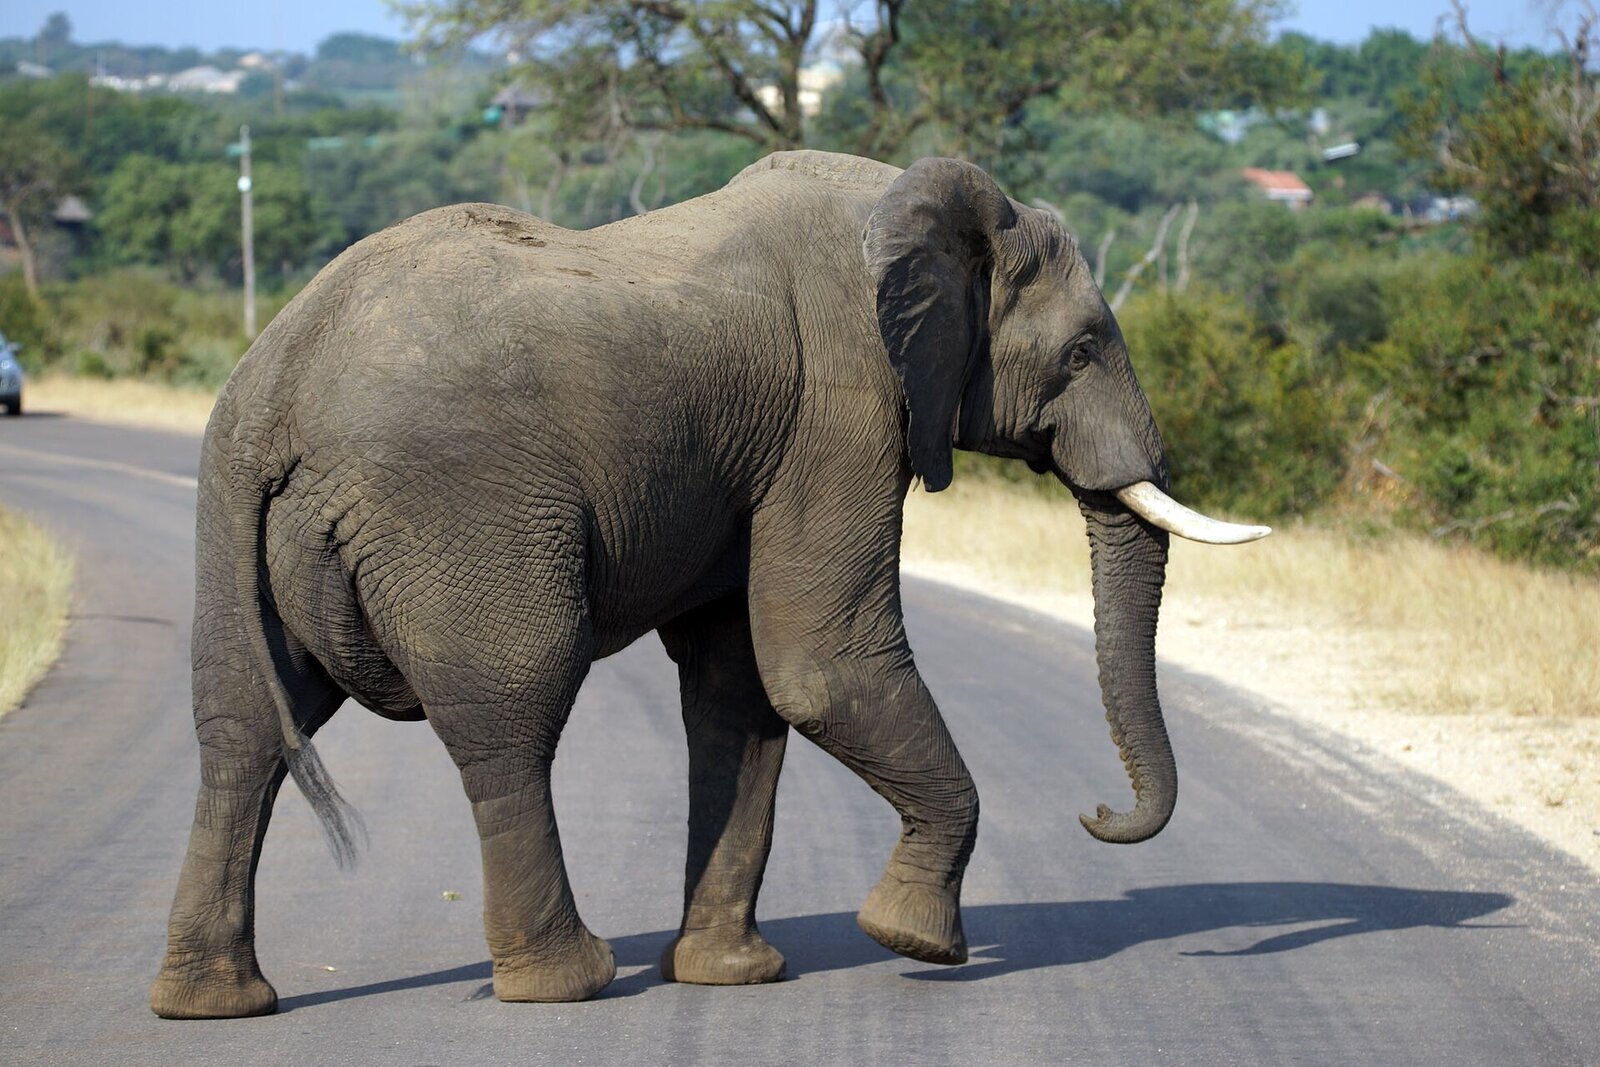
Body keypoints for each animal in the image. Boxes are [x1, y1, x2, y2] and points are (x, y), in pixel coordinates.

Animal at [149, 150, 1267, 1019]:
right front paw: (915, 943)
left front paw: (732, 975)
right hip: (457, 508)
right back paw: (568, 981)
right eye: (1082, 350)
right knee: (512, 712)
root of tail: (277, 392)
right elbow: (818, 664)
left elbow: (743, 687)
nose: (1097, 811)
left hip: (230, 518)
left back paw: (213, 1002)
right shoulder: (842, 405)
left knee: (243, 727)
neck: (906, 202)